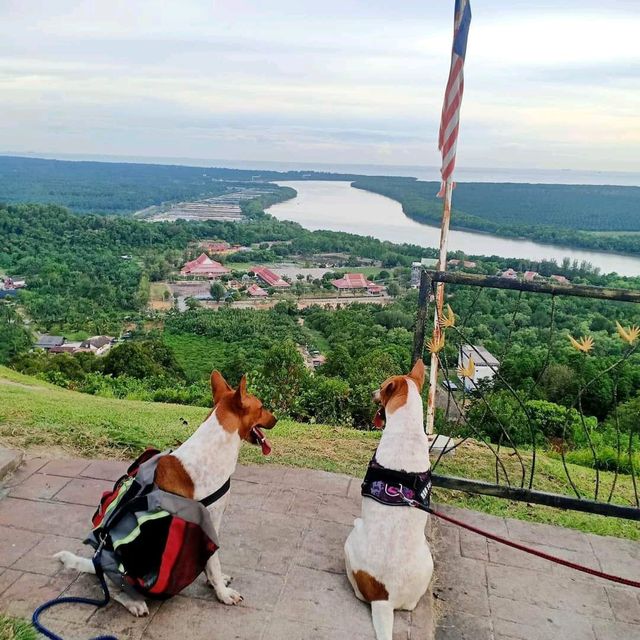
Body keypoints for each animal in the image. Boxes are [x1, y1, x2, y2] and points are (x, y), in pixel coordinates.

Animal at [55, 372, 276, 616]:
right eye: (262, 407)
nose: (276, 419)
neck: (213, 446)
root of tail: (97, 565)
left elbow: (208, 563)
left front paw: (213, 582)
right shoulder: (209, 523)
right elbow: (213, 562)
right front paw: (222, 592)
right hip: (123, 575)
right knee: (112, 591)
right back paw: (133, 602)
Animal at [344, 360, 436, 640]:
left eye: (382, 386)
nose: (373, 392)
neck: (407, 428)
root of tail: (383, 598)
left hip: (349, 543)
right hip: (427, 560)